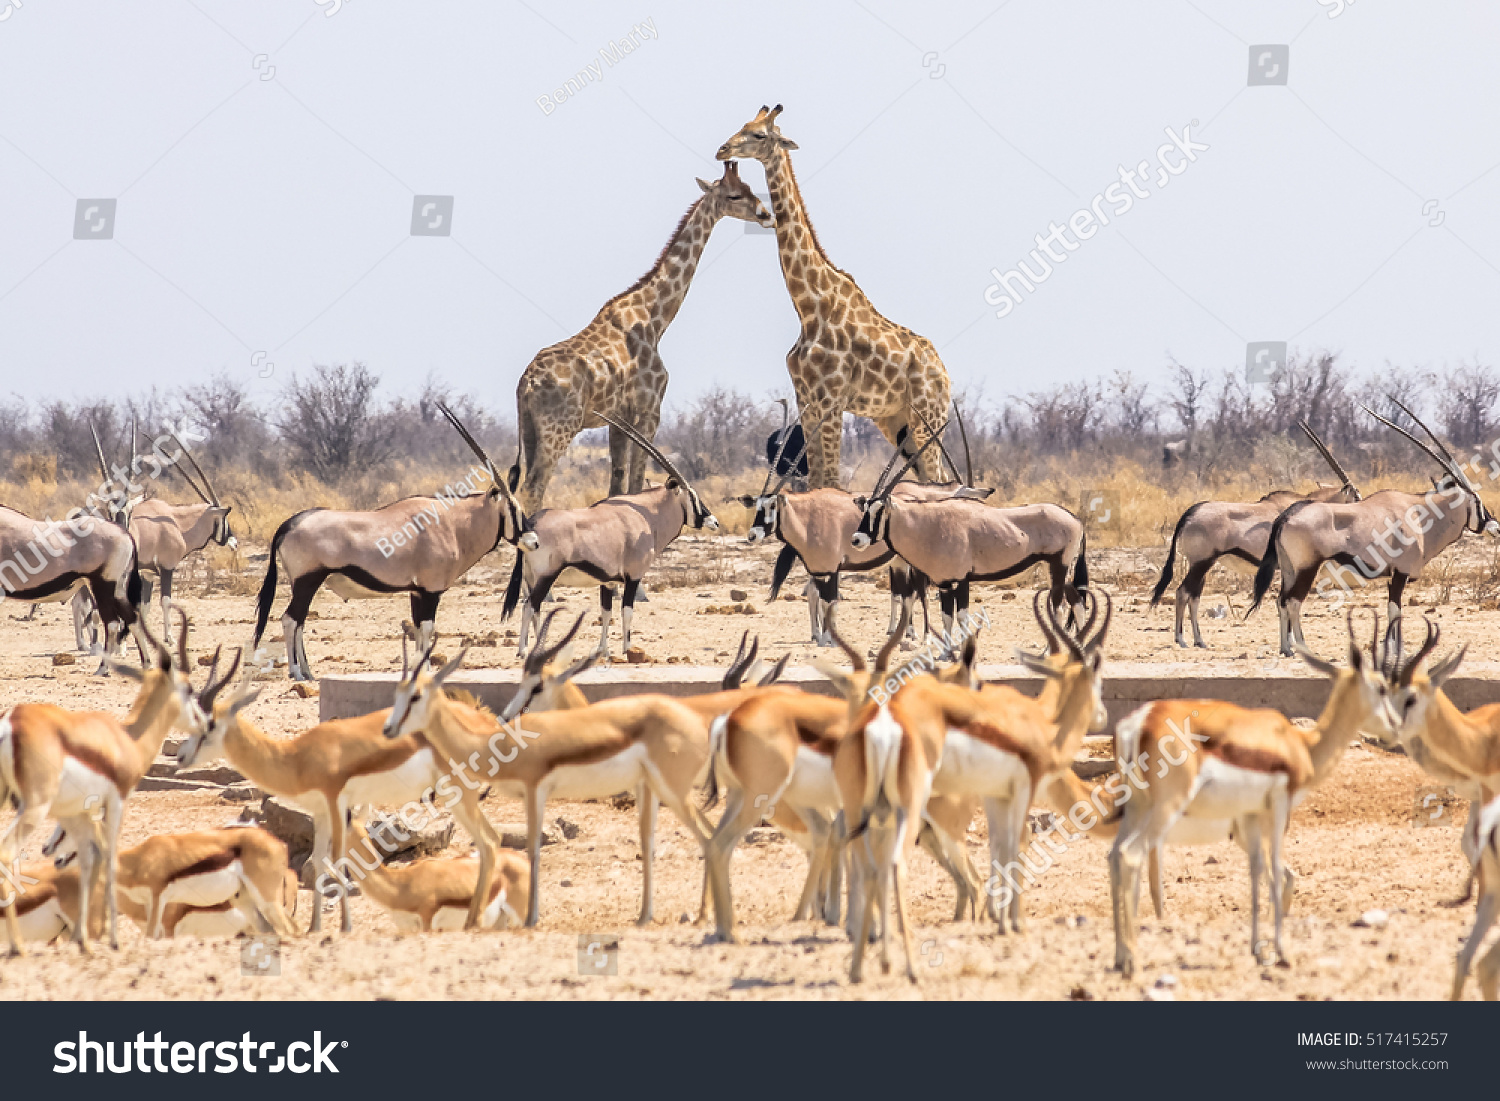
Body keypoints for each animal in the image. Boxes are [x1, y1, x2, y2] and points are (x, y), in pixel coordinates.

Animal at [513, 160, 774, 513]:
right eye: (734, 195)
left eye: (748, 188)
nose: (766, 214)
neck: (654, 319)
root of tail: (527, 382)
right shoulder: (649, 411)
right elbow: (636, 484)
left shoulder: (617, 420)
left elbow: (616, 487)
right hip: (558, 429)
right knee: (533, 489)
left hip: (529, 429)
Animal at [714, 104, 948, 492]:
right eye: (742, 124)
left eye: (759, 134)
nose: (722, 149)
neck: (809, 308)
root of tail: (945, 374)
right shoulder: (807, 399)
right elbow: (818, 480)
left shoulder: (832, 398)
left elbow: (832, 481)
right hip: (896, 422)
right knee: (933, 477)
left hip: (928, 415)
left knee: (940, 478)